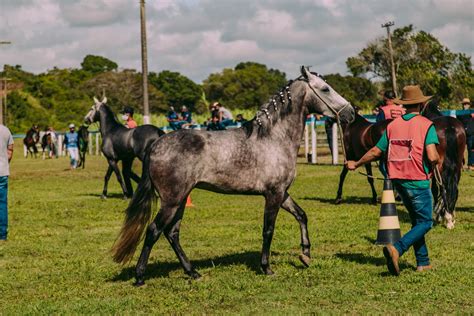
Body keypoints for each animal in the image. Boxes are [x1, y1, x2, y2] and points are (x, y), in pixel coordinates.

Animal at [112, 67, 356, 286]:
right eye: (325, 89)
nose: (351, 113)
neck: (273, 138)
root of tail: (155, 145)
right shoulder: (273, 194)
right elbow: (268, 230)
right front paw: (266, 267)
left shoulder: (282, 193)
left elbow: (302, 216)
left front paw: (305, 255)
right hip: (172, 201)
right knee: (154, 231)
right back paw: (140, 277)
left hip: (180, 200)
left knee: (172, 233)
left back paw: (193, 272)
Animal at [422, 100, 466, 228]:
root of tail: (449, 127)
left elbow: (434, 188)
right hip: (457, 166)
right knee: (453, 188)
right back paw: (450, 215)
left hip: (439, 166)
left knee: (443, 188)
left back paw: (446, 217)